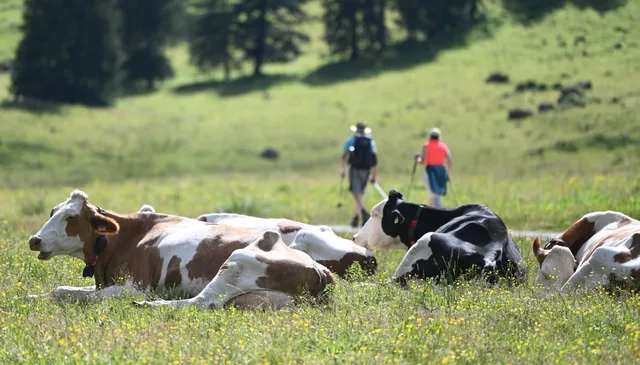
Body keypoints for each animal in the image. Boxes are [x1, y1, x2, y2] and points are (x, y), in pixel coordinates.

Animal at [25, 189, 336, 308]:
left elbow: (81, 296)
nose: (34, 240)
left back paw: (149, 306)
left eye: (70, 217)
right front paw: (31, 295)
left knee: (200, 302)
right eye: (52, 211)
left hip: (238, 261)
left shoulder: (134, 286)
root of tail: (320, 269)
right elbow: (61, 290)